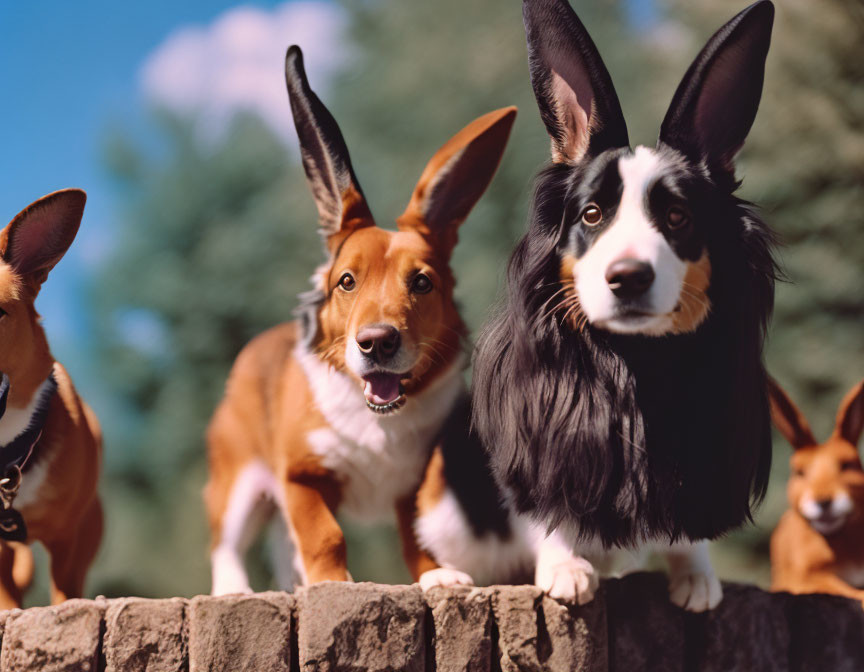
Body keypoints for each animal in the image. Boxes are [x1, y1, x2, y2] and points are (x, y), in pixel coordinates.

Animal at [206, 46, 528, 592]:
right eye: (347, 281)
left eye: (421, 282)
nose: (377, 342)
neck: (379, 420)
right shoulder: (303, 477)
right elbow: (324, 535)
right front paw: (332, 583)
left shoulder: (417, 484)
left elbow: (418, 537)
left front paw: (440, 577)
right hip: (239, 483)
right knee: (226, 543)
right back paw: (234, 589)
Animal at [470, 0, 780, 612]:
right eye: (592, 214)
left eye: (679, 217)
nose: (628, 277)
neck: (639, 364)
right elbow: (540, 504)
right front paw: (565, 566)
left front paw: (695, 573)